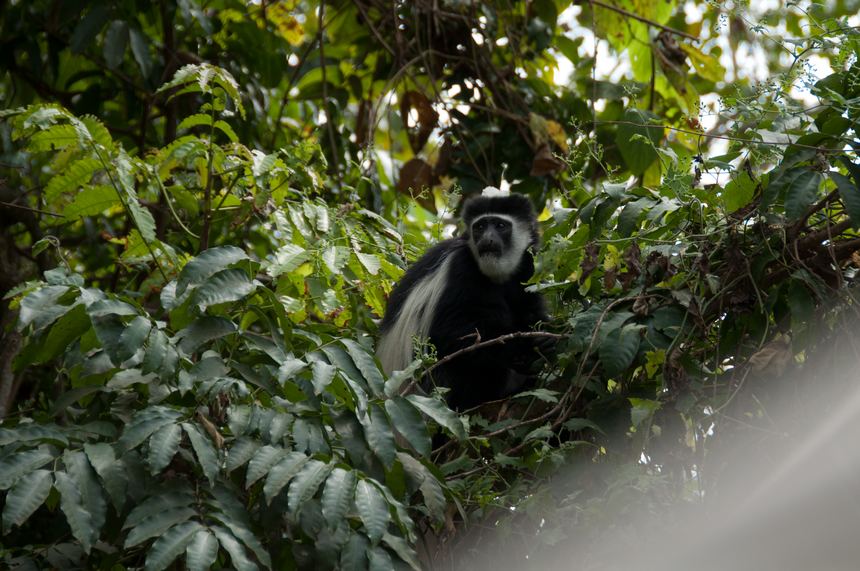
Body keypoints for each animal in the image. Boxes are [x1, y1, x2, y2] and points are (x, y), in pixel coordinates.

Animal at [378, 189, 552, 412]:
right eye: (479, 227)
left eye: (500, 225)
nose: (487, 239)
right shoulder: (460, 268)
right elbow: (452, 332)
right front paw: (523, 348)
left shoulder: (528, 268)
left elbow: (531, 311)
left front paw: (546, 337)